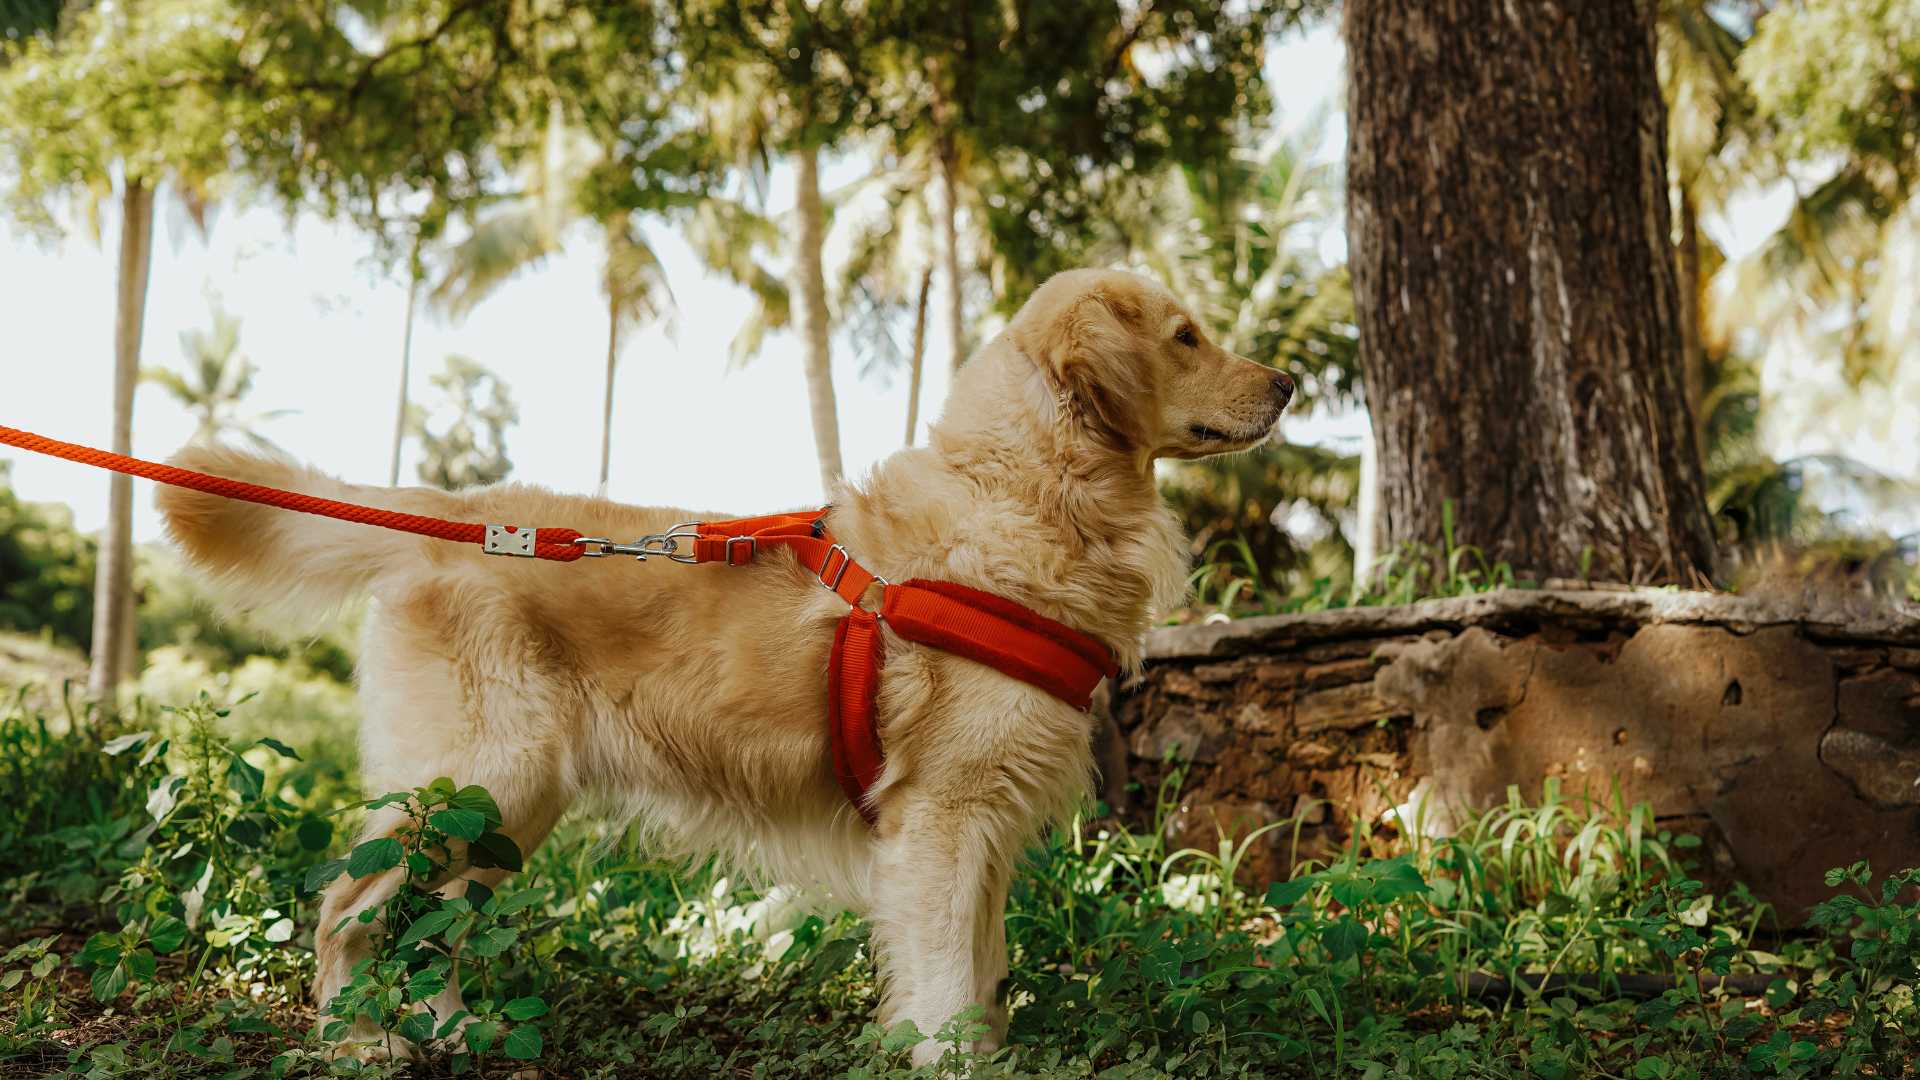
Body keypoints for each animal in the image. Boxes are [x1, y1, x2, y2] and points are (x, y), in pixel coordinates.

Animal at [153, 265, 1290, 1053]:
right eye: (1187, 336)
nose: (1290, 379)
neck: (1030, 495)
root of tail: (452, 522)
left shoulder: (988, 828)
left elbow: (985, 973)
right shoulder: (943, 817)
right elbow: (947, 986)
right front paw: (950, 1059)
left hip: (504, 810)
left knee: (433, 927)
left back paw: (452, 1030)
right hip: (478, 777)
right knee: (346, 909)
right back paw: (357, 1039)